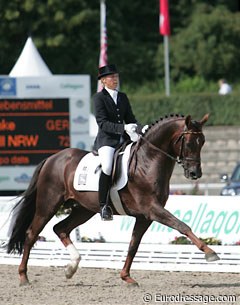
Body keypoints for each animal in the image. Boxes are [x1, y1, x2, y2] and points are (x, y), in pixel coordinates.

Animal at [6, 112, 219, 284]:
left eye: (203, 142)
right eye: (189, 143)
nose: (195, 174)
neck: (148, 161)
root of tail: (52, 158)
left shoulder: (144, 216)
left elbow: (133, 245)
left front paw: (127, 277)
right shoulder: (152, 209)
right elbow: (183, 226)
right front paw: (210, 253)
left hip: (84, 209)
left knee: (60, 228)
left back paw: (71, 268)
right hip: (48, 204)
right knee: (31, 234)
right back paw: (24, 277)